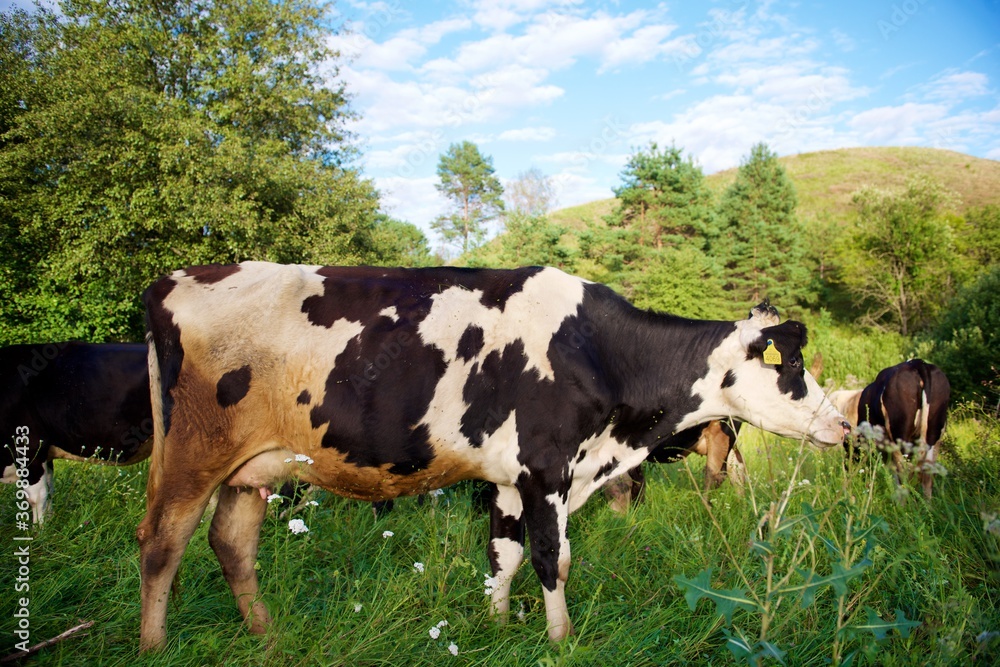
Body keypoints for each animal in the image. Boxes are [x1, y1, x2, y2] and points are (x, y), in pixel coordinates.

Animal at [0, 342, 153, 524]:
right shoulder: (46, 453)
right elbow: (49, 489)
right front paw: (50, 525)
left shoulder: (29, 446)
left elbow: (36, 497)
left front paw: (39, 530)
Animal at [137, 262, 848, 652]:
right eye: (790, 368)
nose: (843, 424)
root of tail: (176, 279)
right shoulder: (548, 469)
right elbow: (553, 558)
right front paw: (560, 641)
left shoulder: (510, 479)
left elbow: (502, 556)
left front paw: (498, 625)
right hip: (194, 454)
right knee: (161, 544)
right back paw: (155, 645)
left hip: (249, 470)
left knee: (232, 544)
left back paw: (267, 636)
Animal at [828, 360, 952, 496]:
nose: (847, 469)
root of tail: (918, 363)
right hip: (934, 436)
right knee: (927, 476)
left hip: (900, 438)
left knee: (904, 472)